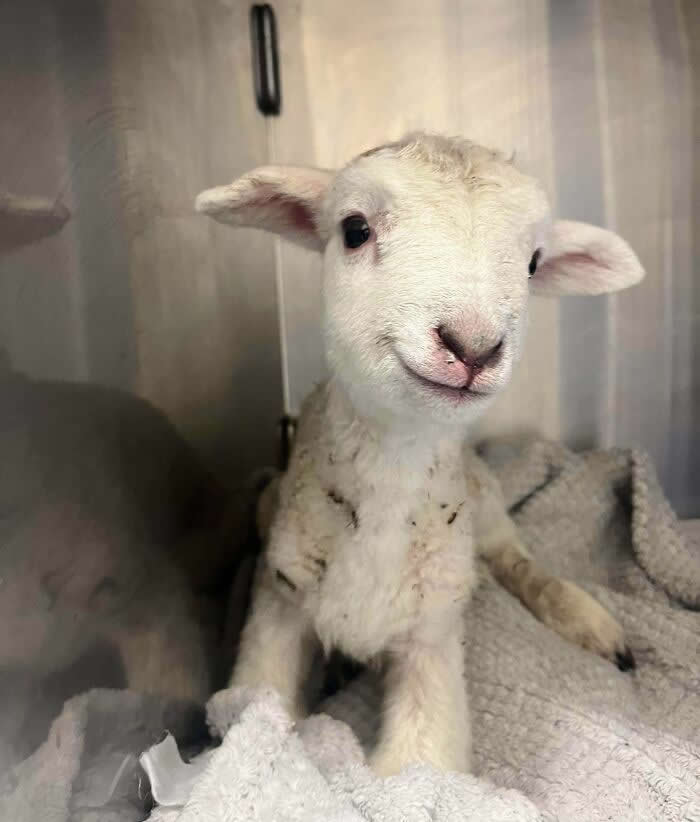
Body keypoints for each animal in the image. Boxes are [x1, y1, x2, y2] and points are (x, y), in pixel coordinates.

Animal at [196, 133, 644, 776]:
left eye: (533, 263)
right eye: (354, 229)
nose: (473, 346)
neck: (394, 461)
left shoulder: (431, 636)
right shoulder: (277, 607)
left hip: (484, 505)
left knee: (515, 560)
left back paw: (591, 622)